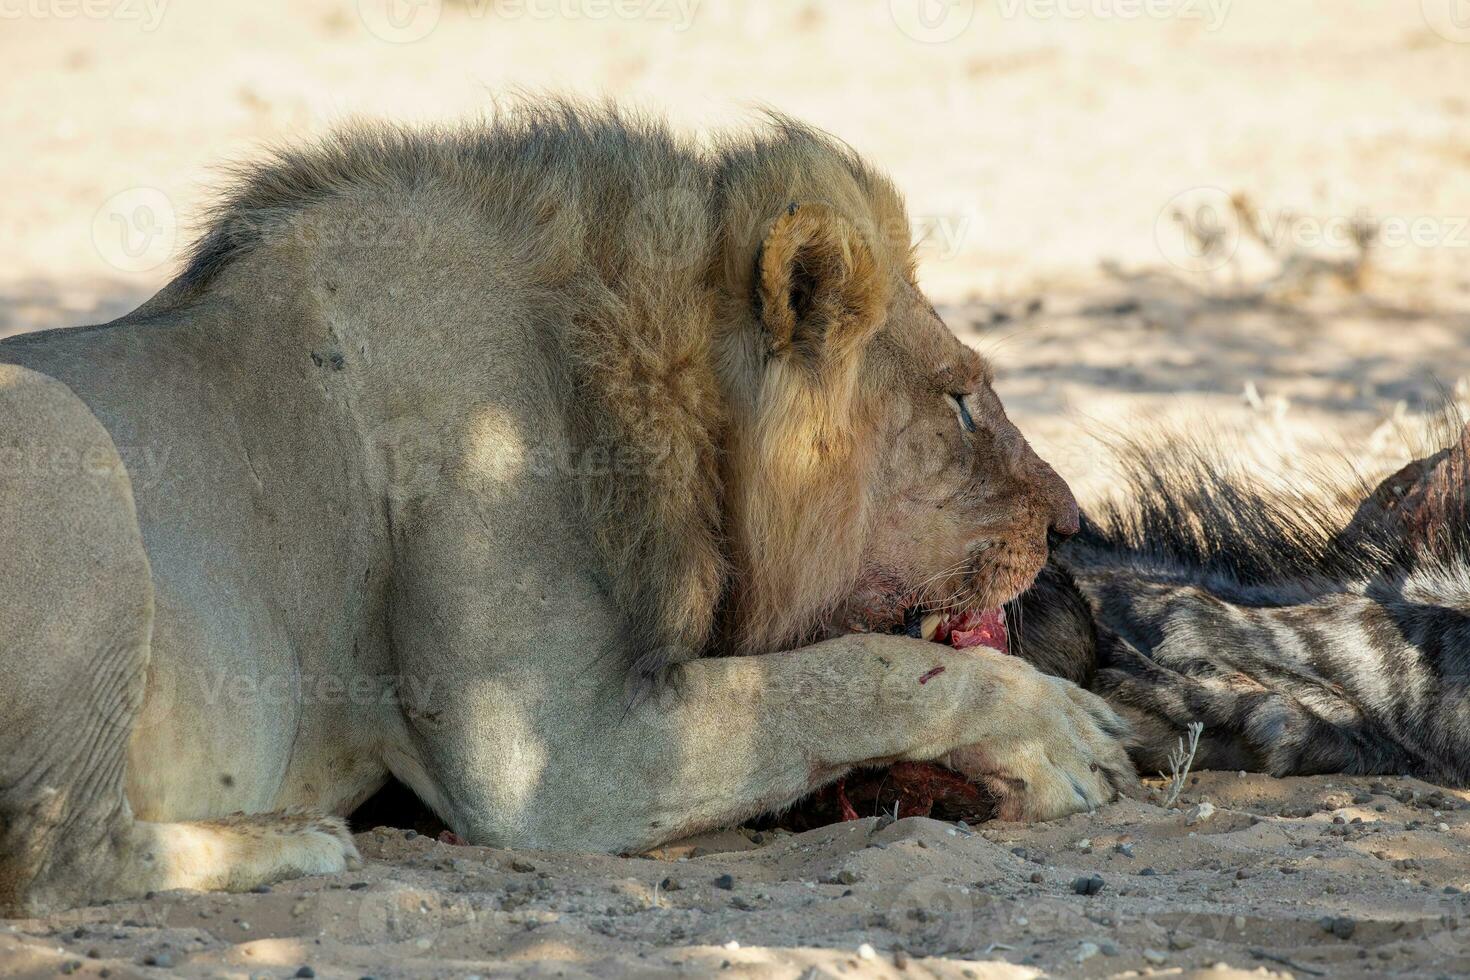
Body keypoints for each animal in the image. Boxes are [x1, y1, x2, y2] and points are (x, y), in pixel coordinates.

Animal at [0, 99, 1123, 910]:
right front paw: (1060, 731)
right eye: (963, 399)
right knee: (51, 856)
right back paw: (295, 845)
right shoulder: (546, 758)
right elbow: (850, 672)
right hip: (66, 433)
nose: (1071, 524)